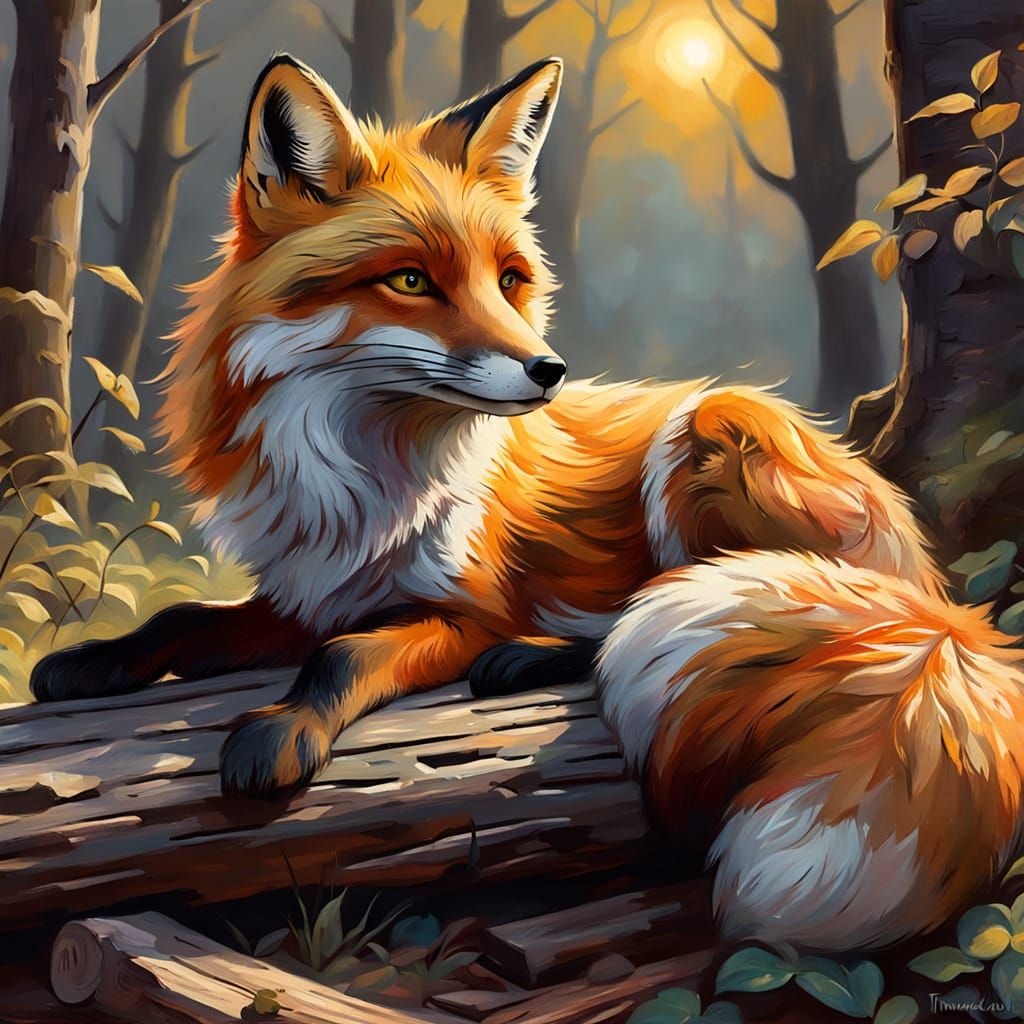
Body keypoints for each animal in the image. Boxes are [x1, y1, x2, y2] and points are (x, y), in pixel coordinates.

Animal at [29, 54, 1024, 952]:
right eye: (410, 281)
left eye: (509, 279)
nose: (550, 371)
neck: (362, 477)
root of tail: (940, 606)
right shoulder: (308, 593)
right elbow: (184, 620)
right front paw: (94, 661)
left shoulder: (459, 609)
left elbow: (343, 660)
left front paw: (283, 730)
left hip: (708, 430)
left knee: (642, 606)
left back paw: (532, 656)